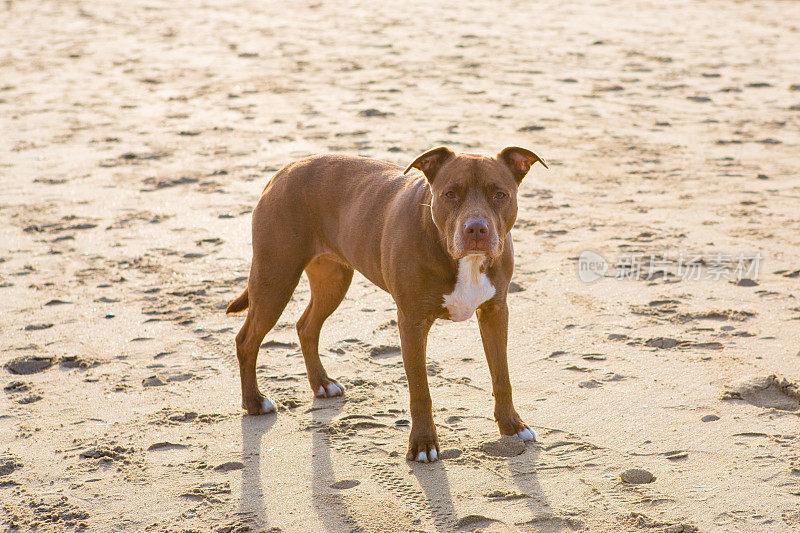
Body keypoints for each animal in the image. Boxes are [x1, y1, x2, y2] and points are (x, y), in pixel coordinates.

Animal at [228, 145, 548, 462]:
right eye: (450, 194)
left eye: (500, 194)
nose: (477, 229)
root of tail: (285, 170)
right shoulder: (412, 323)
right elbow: (420, 390)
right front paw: (423, 444)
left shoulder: (496, 313)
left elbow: (502, 376)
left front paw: (512, 426)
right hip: (275, 278)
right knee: (247, 339)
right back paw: (254, 402)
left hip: (332, 280)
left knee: (306, 326)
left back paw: (322, 384)